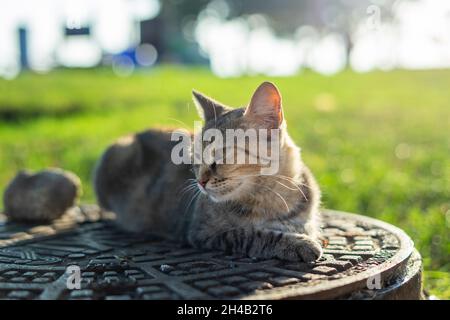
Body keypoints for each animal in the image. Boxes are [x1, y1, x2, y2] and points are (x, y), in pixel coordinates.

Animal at [94, 82, 324, 262]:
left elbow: (302, 224)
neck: (270, 198)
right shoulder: (203, 231)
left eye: (222, 154)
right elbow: (252, 234)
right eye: (195, 156)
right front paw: (297, 244)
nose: (200, 182)